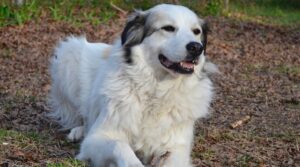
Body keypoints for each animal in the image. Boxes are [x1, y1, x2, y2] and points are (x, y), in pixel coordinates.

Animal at [49, 3, 218, 167]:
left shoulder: (177, 148)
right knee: (81, 117)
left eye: (196, 31)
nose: (196, 47)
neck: (156, 91)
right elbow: (120, 146)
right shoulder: (96, 139)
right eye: (168, 28)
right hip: (68, 54)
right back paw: (78, 131)